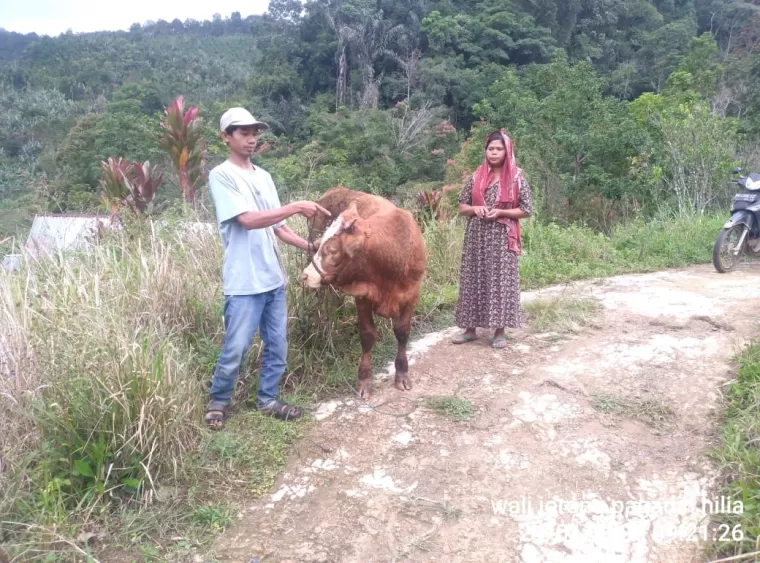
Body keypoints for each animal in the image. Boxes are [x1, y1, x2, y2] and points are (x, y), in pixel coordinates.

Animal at [300, 187, 424, 398]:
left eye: (332, 251)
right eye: (321, 244)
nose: (306, 275)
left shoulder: (411, 295)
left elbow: (402, 332)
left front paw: (402, 374)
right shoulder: (362, 297)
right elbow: (367, 335)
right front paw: (364, 381)